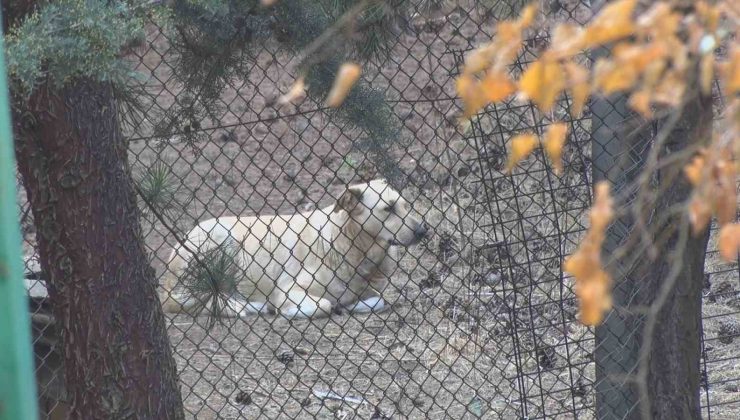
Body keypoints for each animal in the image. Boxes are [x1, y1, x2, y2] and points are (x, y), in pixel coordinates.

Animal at [162, 179, 428, 320]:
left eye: (405, 205)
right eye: (388, 209)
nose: (423, 231)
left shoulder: (372, 291)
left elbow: (377, 300)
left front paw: (350, 305)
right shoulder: (289, 290)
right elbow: (324, 304)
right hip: (222, 239)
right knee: (199, 301)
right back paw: (248, 307)